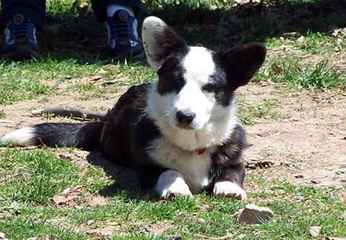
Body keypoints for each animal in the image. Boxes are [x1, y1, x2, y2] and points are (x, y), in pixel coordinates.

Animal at [0, 16, 264, 200]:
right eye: (175, 81)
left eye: (210, 87)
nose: (185, 116)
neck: (191, 145)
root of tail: (104, 120)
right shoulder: (148, 167)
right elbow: (168, 171)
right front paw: (176, 188)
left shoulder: (234, 158)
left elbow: (232, 171)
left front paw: (229, 187)